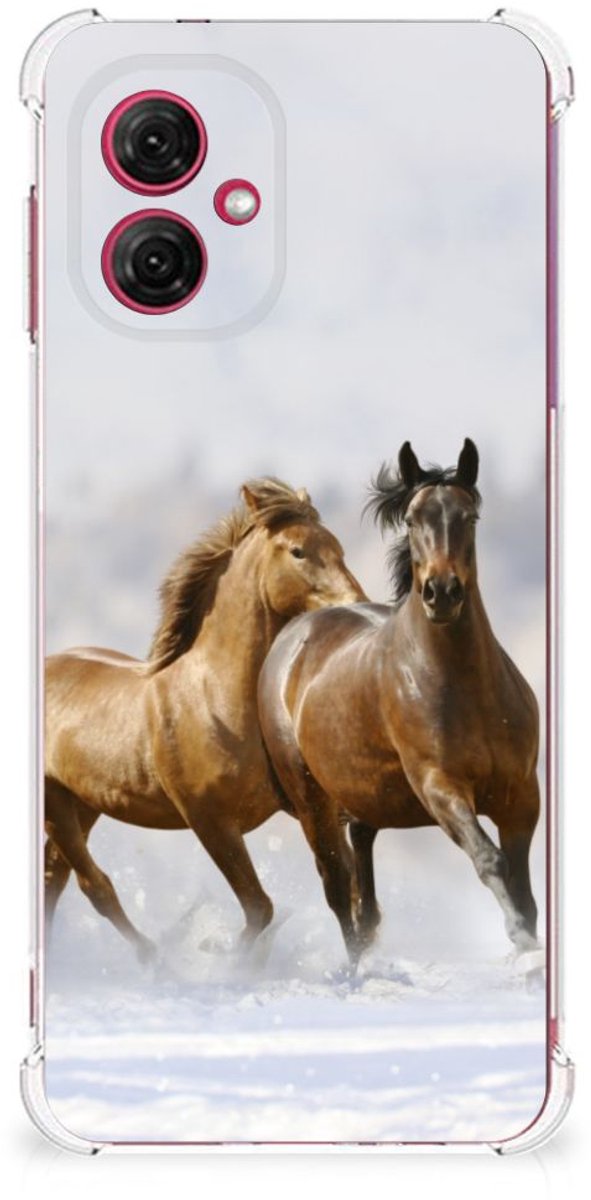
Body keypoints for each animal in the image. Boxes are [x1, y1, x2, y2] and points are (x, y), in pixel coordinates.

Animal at [44, 478, 365, 960]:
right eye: (298, 551)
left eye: (339, 547)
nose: (356, 605)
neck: (216, 700)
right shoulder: (209, 820)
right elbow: (260, 908)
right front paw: (225, 958)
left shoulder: (307, 806)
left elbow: (341, 883)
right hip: (56, 802)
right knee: (92, 885)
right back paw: (155, 959)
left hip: (83, 802)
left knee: (56, 876)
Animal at [258, 441, 540, 964]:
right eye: (411, 519)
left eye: (470, 516)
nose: (441, 593)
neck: (465, 688)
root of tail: (292, 636)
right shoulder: (439, 786)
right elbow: (490, 860)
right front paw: (520, 939)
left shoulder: (521, 796)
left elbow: (524, 886)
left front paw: (529, 942)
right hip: (312, 802)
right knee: (338, 888)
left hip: (363, 798)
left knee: (363, 885)